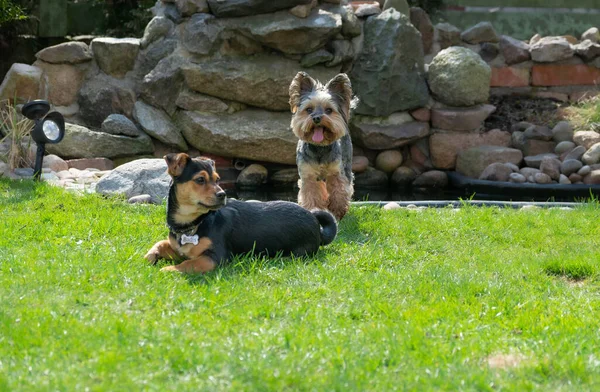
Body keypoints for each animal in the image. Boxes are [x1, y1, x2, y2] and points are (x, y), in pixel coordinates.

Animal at [143, 152, 336, 274]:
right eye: (200, 180)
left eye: (218, 180)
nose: (223, 194)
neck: (193, 224)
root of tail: (315, 223)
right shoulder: (180, 249)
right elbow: (161, 243)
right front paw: (149, 256)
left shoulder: (216, 257)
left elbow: (189, 263)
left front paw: (169, 269)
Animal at [290, 71, 356, 220]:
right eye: (309, 109)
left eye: (329, 110)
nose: (316, 118)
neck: (319, 147)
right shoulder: (308, 175)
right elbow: (311, 193)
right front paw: (314, 209)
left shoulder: (336, 172)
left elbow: (339, 191)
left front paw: (338, 211)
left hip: (347, 161)